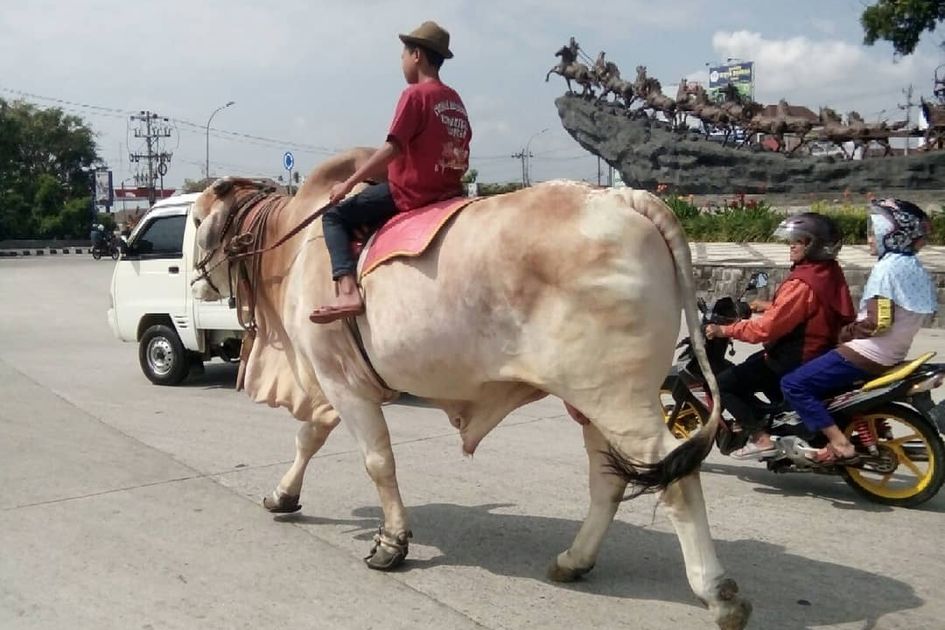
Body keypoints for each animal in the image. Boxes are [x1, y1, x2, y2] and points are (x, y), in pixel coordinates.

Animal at [192, 149, 752, 630]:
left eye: (196, 223)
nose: (194, 283)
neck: (294, 243)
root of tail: (628, 199)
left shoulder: (339, 379)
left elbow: (377, 462)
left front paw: (391, 543)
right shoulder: (335, 381)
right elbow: (308, 438)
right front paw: (282, 496)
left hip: (622, 402)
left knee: (676, 478)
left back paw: (719, 594)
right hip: (594, 400)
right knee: (609, 481)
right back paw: (574, 560)